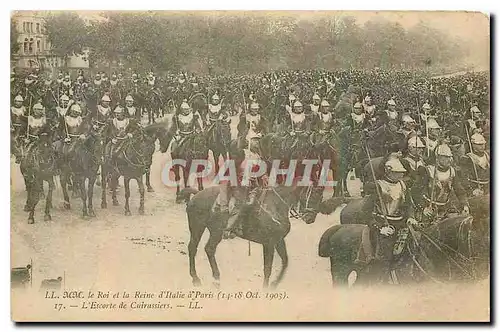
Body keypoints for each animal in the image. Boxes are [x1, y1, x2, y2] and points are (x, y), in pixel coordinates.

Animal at [180, 179, 324, 288]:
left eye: (321, 197)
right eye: (314, 195)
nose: (310, 218)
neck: (276, 204)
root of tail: (196, 195)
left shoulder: (278, 240)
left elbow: (285, 261)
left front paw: (274, 284)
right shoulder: (269, 243)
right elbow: (268, 268)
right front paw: (265, 287)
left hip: (209, 231)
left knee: (203, 249)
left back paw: (212, 278)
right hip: (202, 229)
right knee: (198, 248)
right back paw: (200, 279)